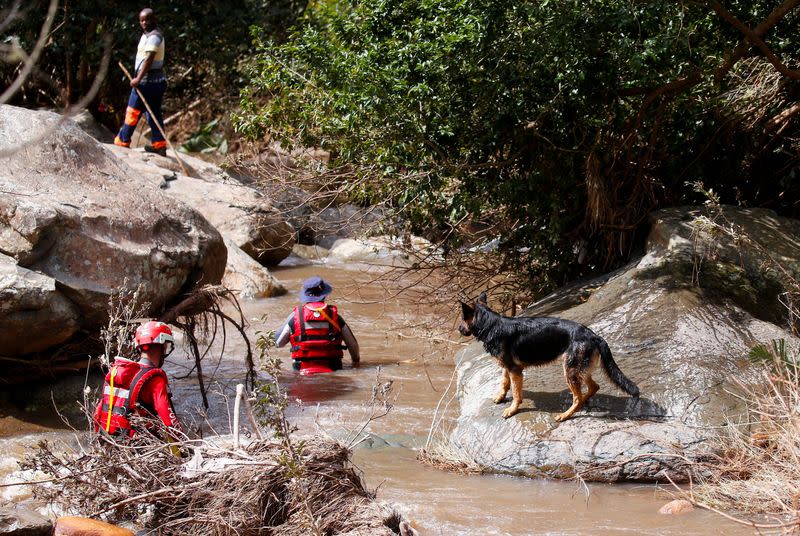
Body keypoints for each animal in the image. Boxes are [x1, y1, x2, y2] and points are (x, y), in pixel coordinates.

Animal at [462, 294, 636, 422]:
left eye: (462, 320)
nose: (458, 329)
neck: (490, 324)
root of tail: (594, 336)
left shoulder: (515, 371)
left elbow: (516, 393)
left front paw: (512, 409)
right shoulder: (508, 367)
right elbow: (504, 383)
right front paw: (500, 397)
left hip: (570, 372)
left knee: (577, 398)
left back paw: (566, 414)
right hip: (579, 370)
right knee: (592, 388)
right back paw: (584, 402)